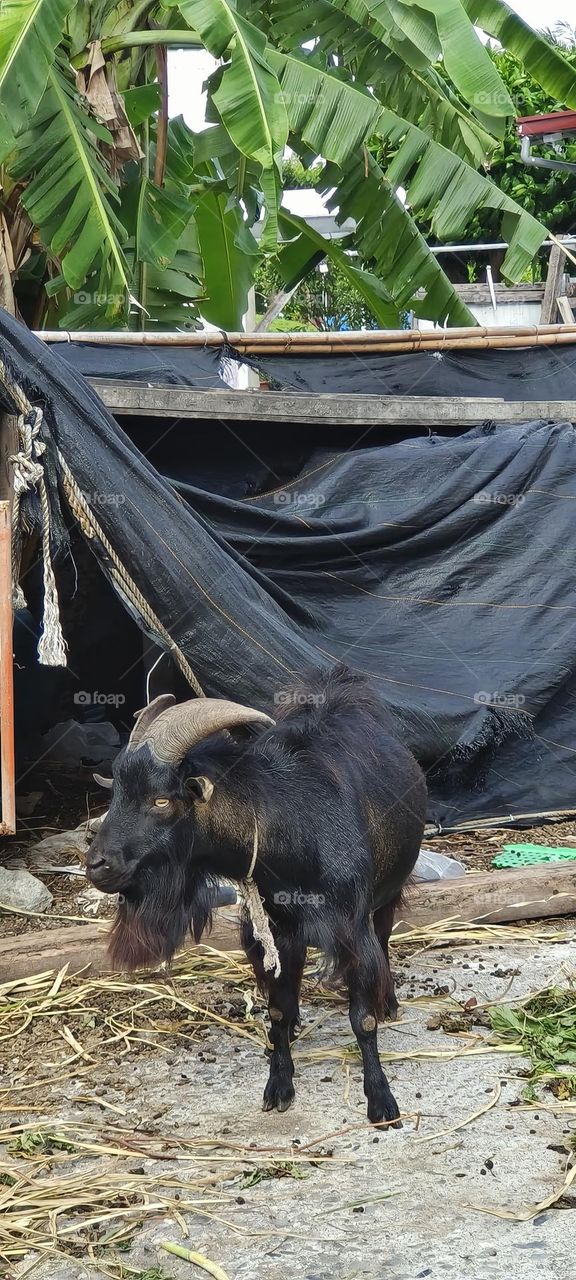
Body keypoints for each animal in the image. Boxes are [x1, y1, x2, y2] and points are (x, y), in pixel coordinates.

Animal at [87, 665, 427, 1125]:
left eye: (161, 800)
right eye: (116, 792)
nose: (97, 865)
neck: (292, 825)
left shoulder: (351, 926)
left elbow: (363, 1019)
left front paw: (381, 1101)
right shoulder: (273, 928)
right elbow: (277, 1011)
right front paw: (278, 1086)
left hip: (386, 894)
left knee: (385, 937)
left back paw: (388, 1000)